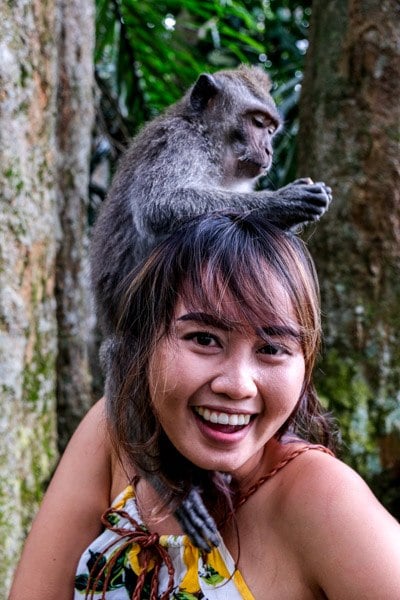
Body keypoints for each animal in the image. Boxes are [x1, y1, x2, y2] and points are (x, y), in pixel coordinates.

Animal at [90, 64, 332, 552]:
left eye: (271, 127)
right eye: (257, 122)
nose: (269, 148)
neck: (211, 142)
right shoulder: (178, 145)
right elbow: (161, 205)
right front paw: (281, 205)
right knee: (120, 349)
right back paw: (167, 483)